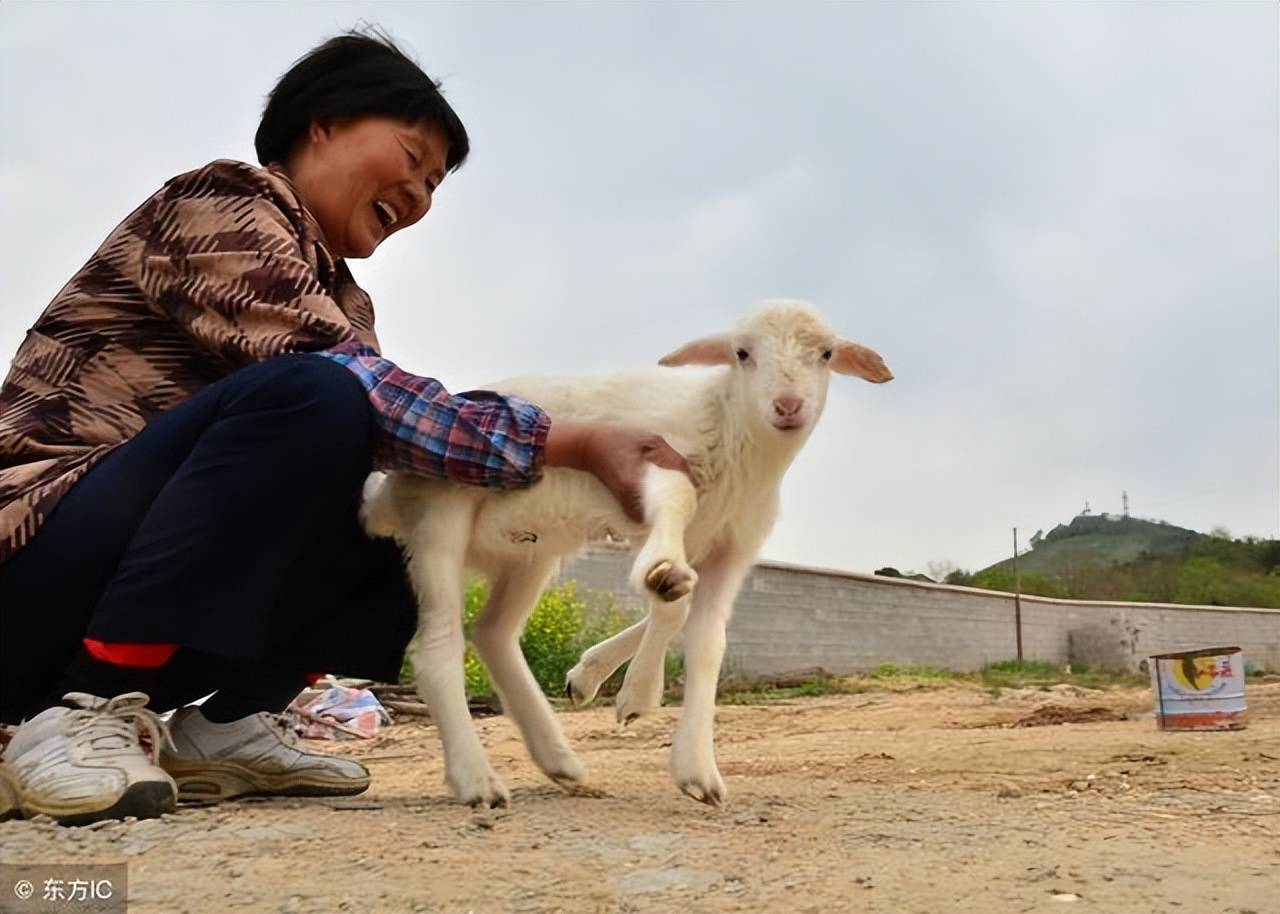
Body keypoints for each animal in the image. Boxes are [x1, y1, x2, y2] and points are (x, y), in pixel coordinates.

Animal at [363, 299, 890, 803]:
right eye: (742, 353)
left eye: (826, 355)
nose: (787, 405)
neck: (728, 431)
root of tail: (386, 494)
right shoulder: (651, 465)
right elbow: (673, 575)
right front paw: (638, 687)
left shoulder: (732, 546)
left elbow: (705, 641)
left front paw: (694, 765)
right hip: (440, 513)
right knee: (438, 647)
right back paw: (476, 779)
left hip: (528, 552)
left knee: (492, 633)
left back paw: (558, 759)